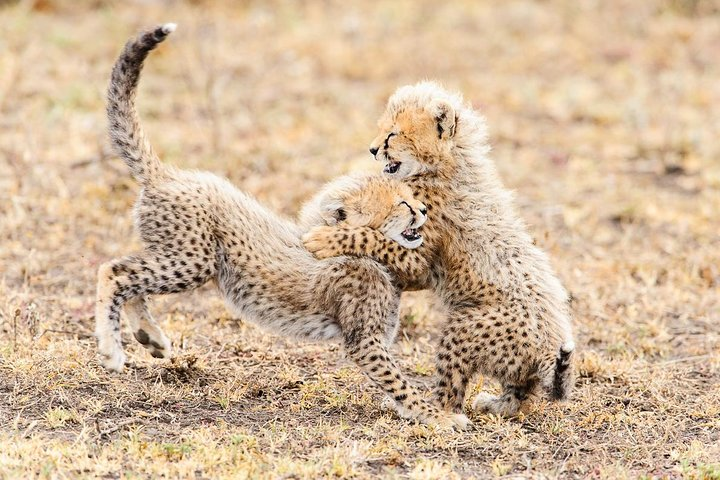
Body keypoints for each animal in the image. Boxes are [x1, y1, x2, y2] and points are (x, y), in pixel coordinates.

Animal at [95, 25, 469, 429]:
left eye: (411, 194)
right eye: (402, 203)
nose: (423, 210)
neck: (363, 255)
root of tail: (168, 174)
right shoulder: (365, 340)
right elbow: (399, 381)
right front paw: (437, 416)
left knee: (132, 277)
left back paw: (149, 336)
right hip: (194, 260)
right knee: (114, 271)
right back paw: (111, 348)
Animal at [304, 81, 575, 417]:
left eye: (392, 134)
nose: (372, 149)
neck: (446, 164)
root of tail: (547, 347)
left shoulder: (418, 260)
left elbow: (370, 237)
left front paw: (324, 238)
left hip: (465, 328)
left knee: (452, 394)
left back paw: (432, 411)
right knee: (521, 395)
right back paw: (495, 405)